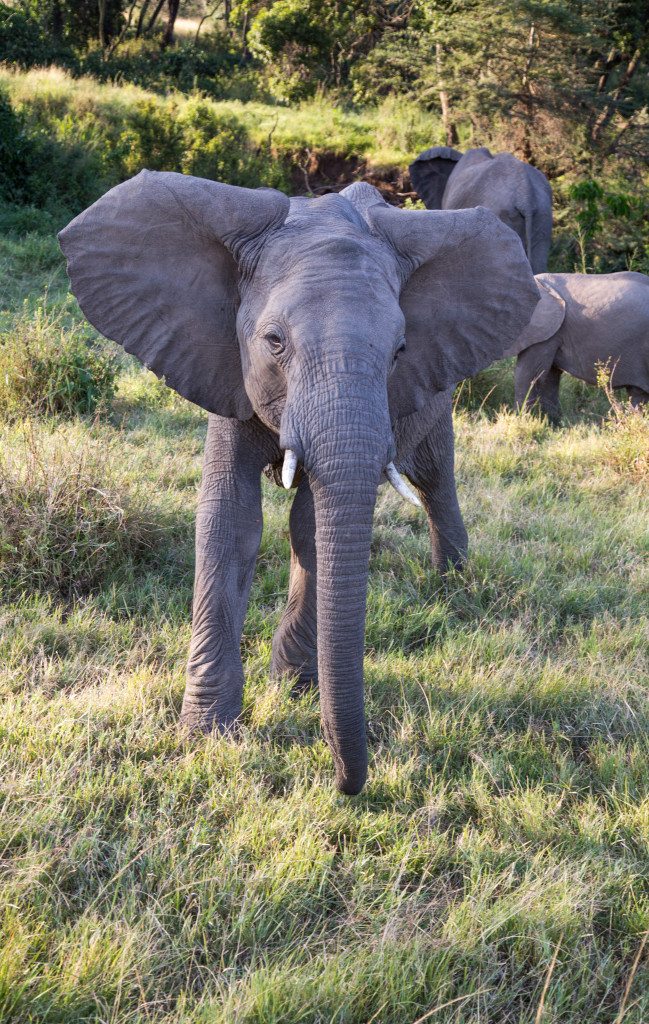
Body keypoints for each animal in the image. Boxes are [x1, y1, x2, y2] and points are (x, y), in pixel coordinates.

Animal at [59, 172, 536, 794]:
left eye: (400, 350)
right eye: (274, 342)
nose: (342, 782)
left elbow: (309, 523)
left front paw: (291, 688)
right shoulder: (223, 360)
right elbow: (229, 518)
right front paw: (207, 734)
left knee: (434, 474)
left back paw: (453, 581)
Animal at [505, 270, 646, 421]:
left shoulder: (545, 331)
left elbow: (529, 375)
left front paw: (522, 420)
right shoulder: (553, 332)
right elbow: (549, 376)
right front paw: (552, 422)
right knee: (638, 395)